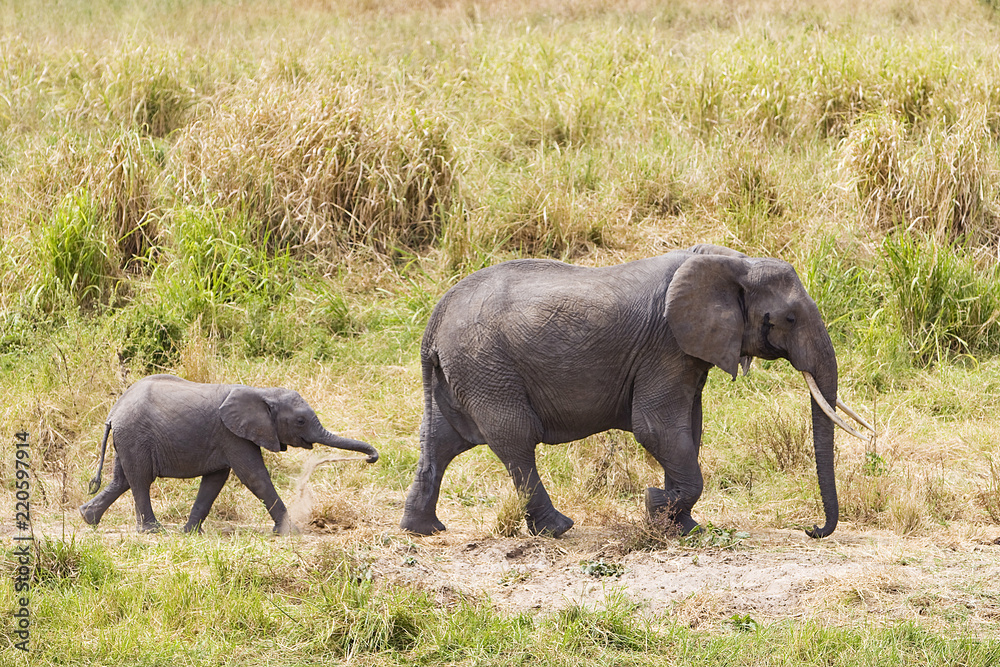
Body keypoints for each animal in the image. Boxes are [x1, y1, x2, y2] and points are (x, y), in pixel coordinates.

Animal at [80, 374, 378, 534]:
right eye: (301, 421)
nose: (371, 458)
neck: (262, 392)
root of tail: (113, 411)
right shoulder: (232, 435)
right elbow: (255, 477)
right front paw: (290, 533)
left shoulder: (223, 439)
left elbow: (214, 481)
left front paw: (191, 533)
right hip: (135, 436)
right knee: (140, 480)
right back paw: (154, 531)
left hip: (129, 438)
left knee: (122, 479)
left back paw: (88, 518)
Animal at [400, 244, 872, 539]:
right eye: (789, 319)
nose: (812, 530)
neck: (732, 261)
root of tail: (434, 320)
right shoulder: (665, 345)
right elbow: (658, 429)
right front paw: (657, 505)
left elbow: (689, 429)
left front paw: (683, 526)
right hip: (487, 366)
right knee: (515, 438)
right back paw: (559, 528)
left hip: (463, 371)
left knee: (440, 441)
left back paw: (423, 529)